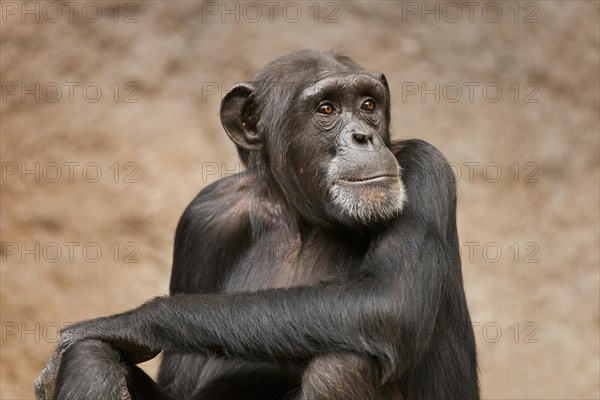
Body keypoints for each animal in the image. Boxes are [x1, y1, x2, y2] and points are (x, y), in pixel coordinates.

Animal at [36, 50, 478, 400]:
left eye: (369, 104)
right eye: (327, 109)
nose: (364, 136)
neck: (304, 218)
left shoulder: (424, 167)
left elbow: (390, 299)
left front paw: (130, 322)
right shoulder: (203, 218)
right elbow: (177, 382)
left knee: (343, 364)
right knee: (91, 355)